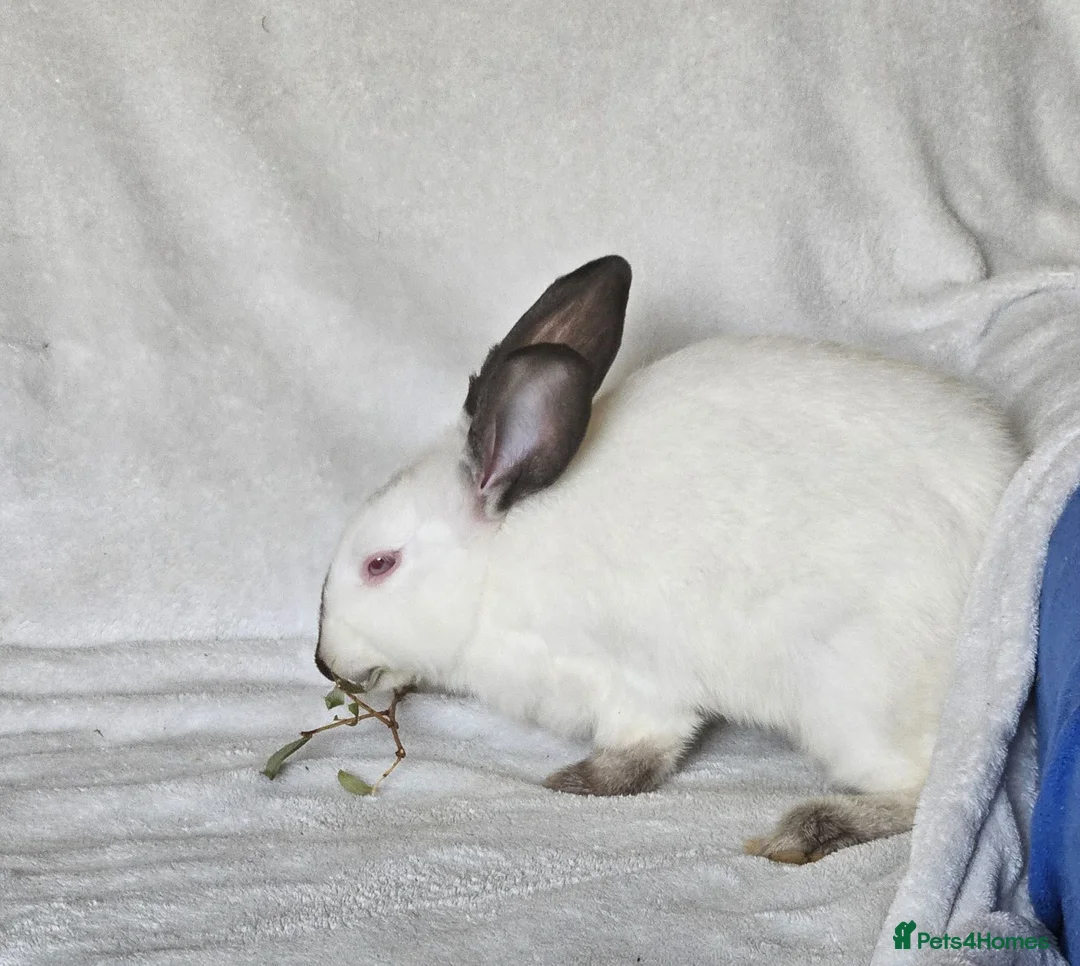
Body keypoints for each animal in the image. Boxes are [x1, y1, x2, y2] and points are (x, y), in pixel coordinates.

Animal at [315, 255, 1023, 864]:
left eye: (380, 564)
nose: (324, 663)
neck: (492, 568)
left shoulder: (626, 677)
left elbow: (645, 753)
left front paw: (575, 782)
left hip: (856, 701)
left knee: (924, 792)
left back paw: (805, 830)